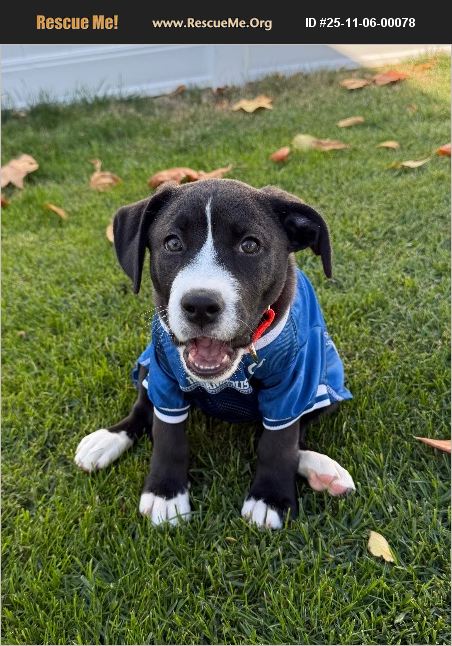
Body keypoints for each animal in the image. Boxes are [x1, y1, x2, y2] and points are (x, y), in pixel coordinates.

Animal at [75, 179, 355, 529]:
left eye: (250, 246)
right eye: (172, 243)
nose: (200, 305)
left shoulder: (295, 382)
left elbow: (279, 442)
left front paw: (270, 498)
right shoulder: (165, 377)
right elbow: (166, 435)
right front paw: (166, 493)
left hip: (327, 380)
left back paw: (322, 470)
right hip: (147, 364)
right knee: (142, 407)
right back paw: (107, 439)